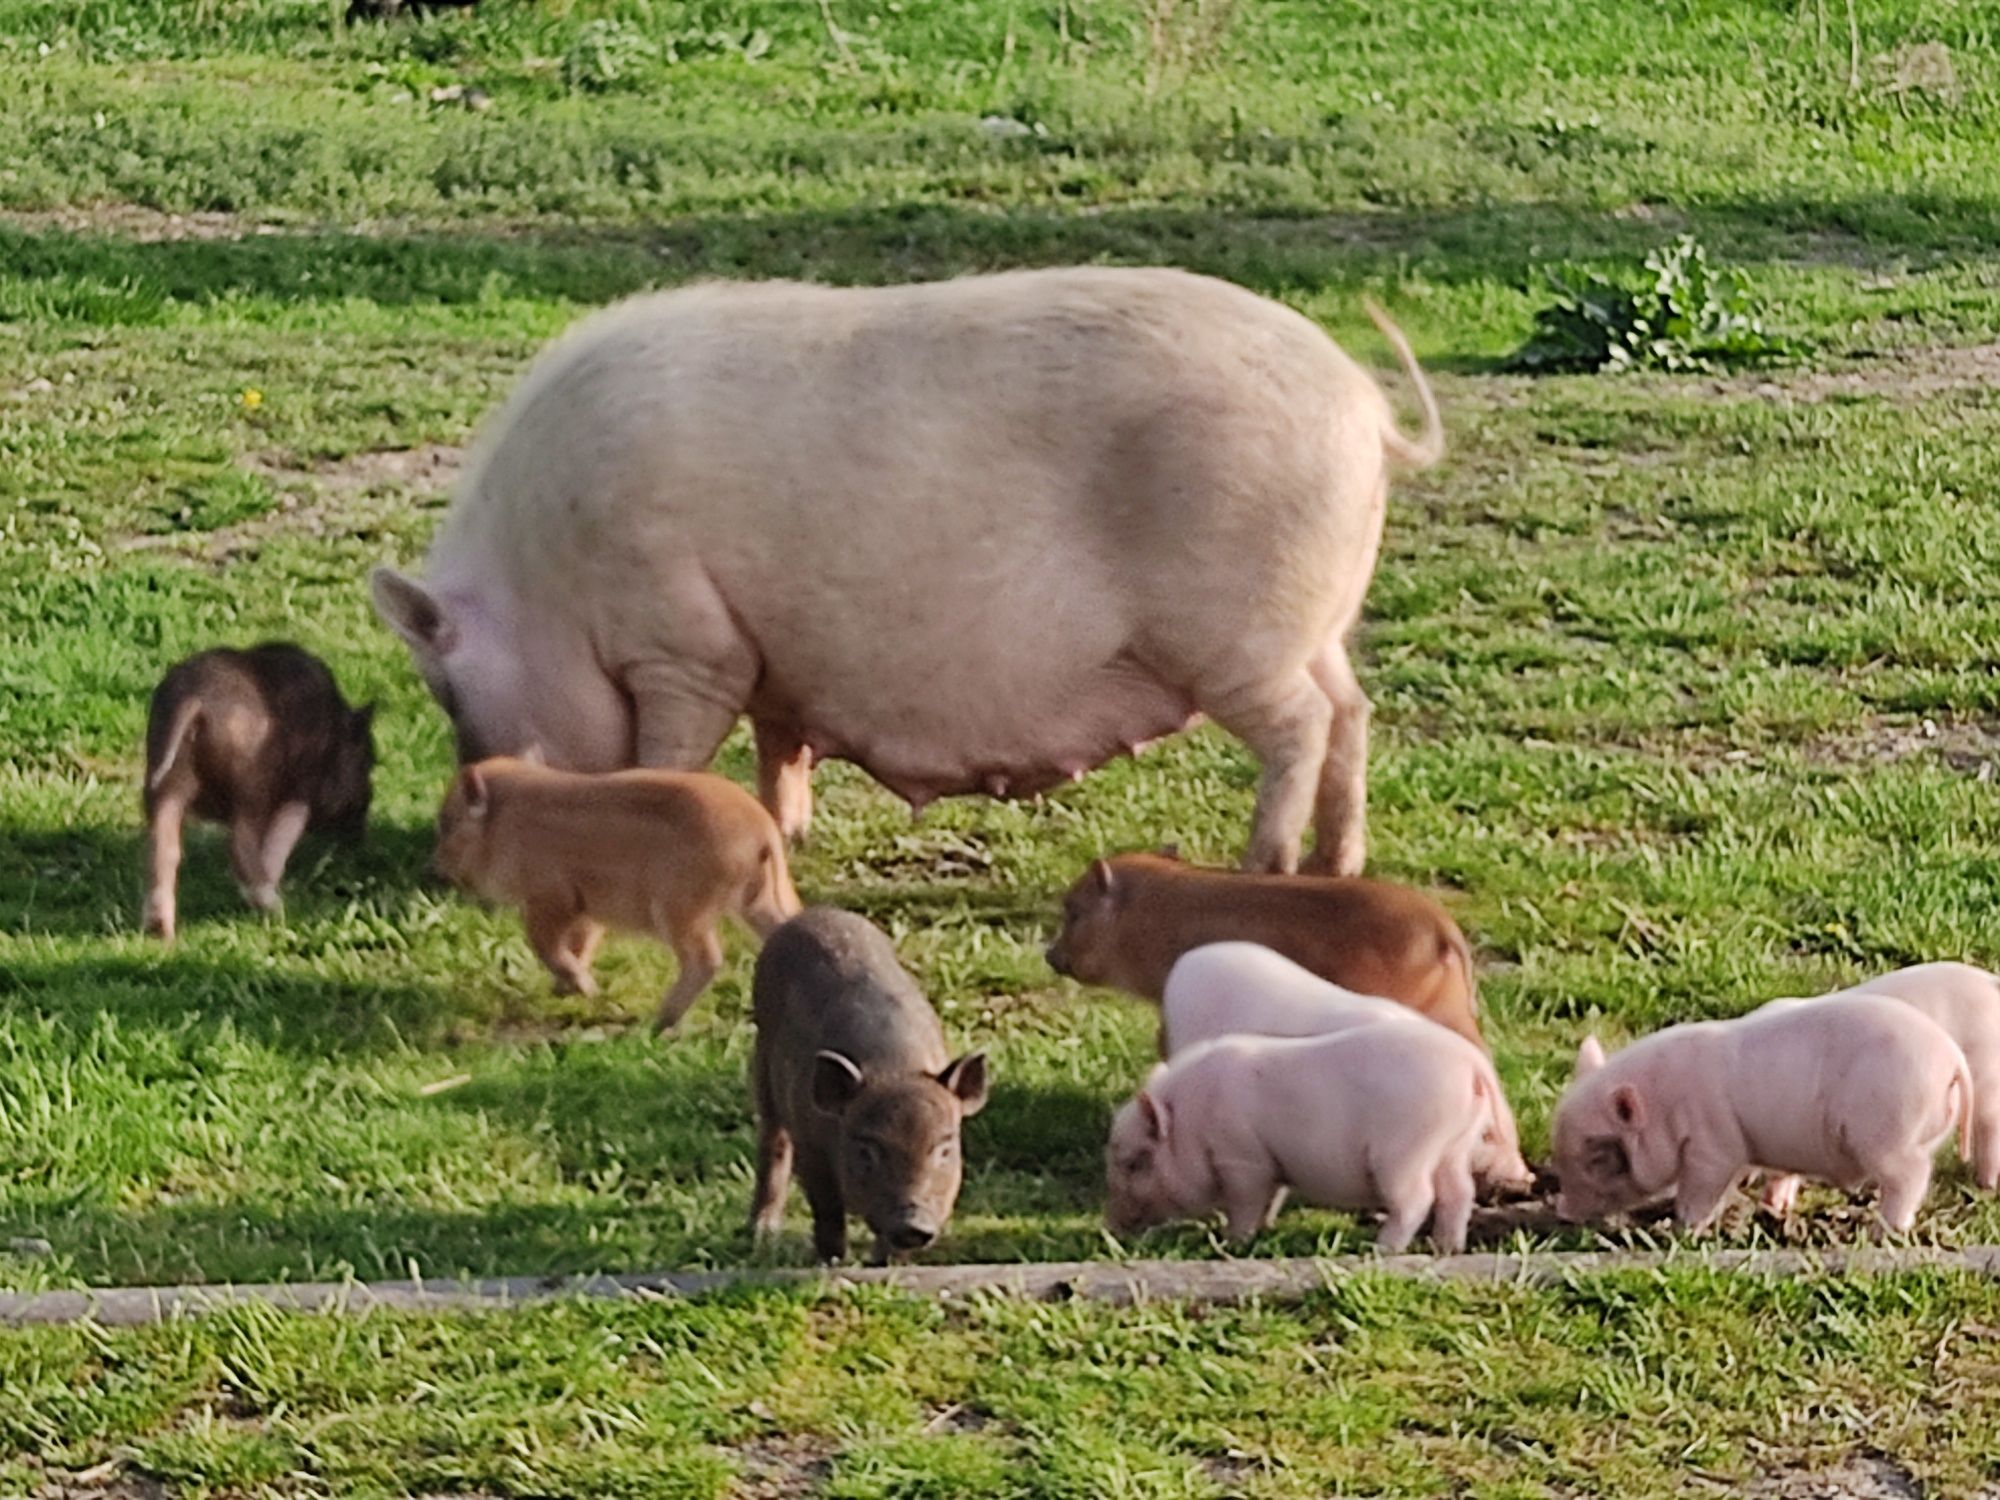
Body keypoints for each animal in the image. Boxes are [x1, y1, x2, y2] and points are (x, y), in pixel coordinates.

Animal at [372, 270, 1440, 876]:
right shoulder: (770, 659)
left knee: (1302, 726)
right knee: (1352, 712)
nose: (440, 867)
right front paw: (790, 834)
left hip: (1236, 637)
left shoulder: (685, 643)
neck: (545, 580)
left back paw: (1266, 867)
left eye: (447, 696)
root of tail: (1365, 408)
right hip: (1316, 622)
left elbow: (671, 750)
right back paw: (1339, 867)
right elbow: (781, 745)